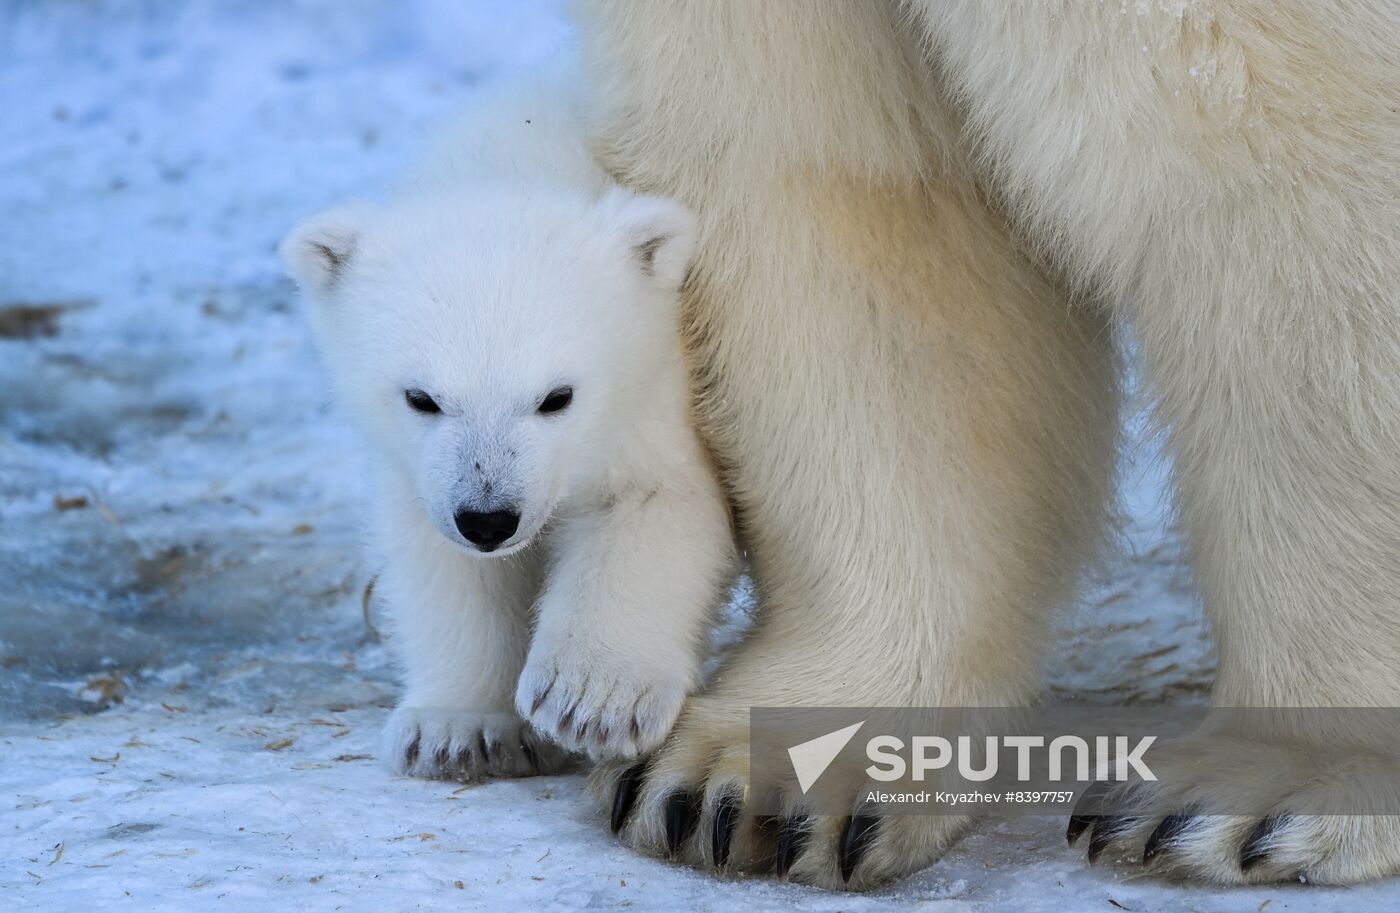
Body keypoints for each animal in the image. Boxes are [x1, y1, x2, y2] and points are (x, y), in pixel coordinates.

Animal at [280, 64, 738, 779]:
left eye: (557, 397)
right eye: (422, 397)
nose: (489, 519)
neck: (516, 155)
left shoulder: (658, 394)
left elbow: (653, 502)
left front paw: (591, 700)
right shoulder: (418, 471)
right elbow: (441, 558)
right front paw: (457, 730)